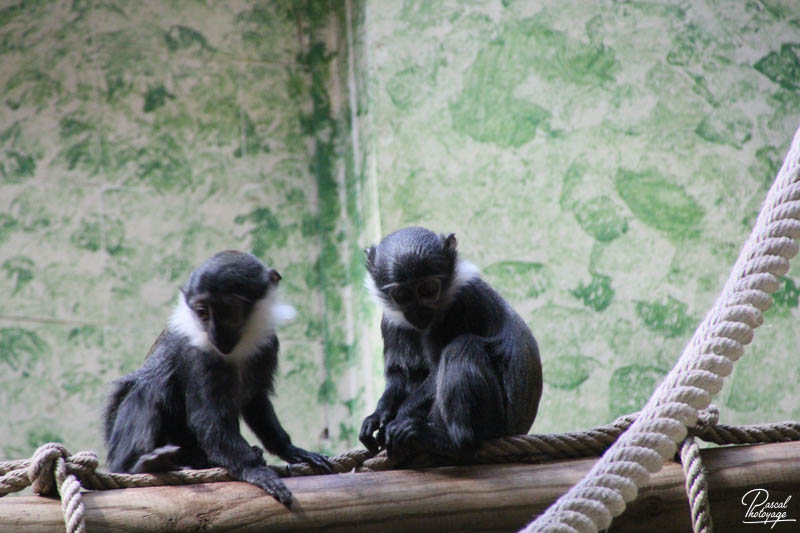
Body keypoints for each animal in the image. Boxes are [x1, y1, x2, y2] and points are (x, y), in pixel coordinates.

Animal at [103, 249, 332, 502]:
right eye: (203, 313)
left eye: (228, 309)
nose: (215, 334)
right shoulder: (197, 354)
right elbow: (208, 420)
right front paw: (253, 469)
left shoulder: (268, 344)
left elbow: (256, 402)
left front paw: (289, 449)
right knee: (145, 390)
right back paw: (140, 465)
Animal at [360, 227, 544, 464]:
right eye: (402, 295)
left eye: (428, 289)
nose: (418, 312)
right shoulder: (390, 318)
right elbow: (400, 375)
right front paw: (377, 416)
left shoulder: (461, 304)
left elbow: (437, 371)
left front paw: (397, 421)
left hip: (496, 421)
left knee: (462, 347)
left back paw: (452, 441)